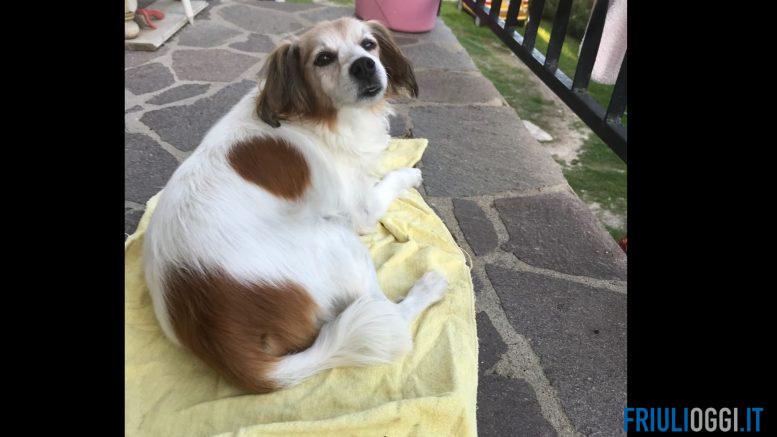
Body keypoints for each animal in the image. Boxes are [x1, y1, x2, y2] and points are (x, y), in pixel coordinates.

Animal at [143, 17, 449, 393]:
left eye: (368, 45)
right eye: (323, 58)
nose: (364, 65)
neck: (317, 114)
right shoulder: (361, 210)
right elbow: (387, 180)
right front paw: (410, 174)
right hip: (340, 243)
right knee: (388, 316)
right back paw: (428, 289)